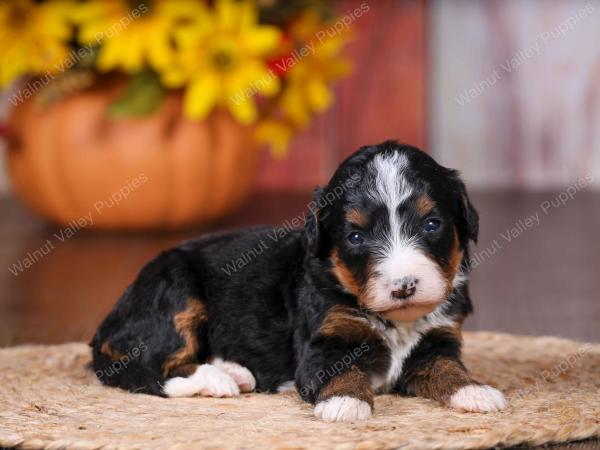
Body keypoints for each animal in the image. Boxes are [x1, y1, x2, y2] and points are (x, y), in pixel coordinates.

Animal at [91, 142, 506, 422]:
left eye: (432, 224)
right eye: (356, 237)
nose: (403, 286)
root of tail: (107, 327)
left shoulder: (438, 339)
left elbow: (447, 368)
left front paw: (476, 391)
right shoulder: (323, 340)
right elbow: (340, 370)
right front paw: (345, 403)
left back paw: (234, 371)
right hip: (175, 287)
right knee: (159, 366)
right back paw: (218, 379)